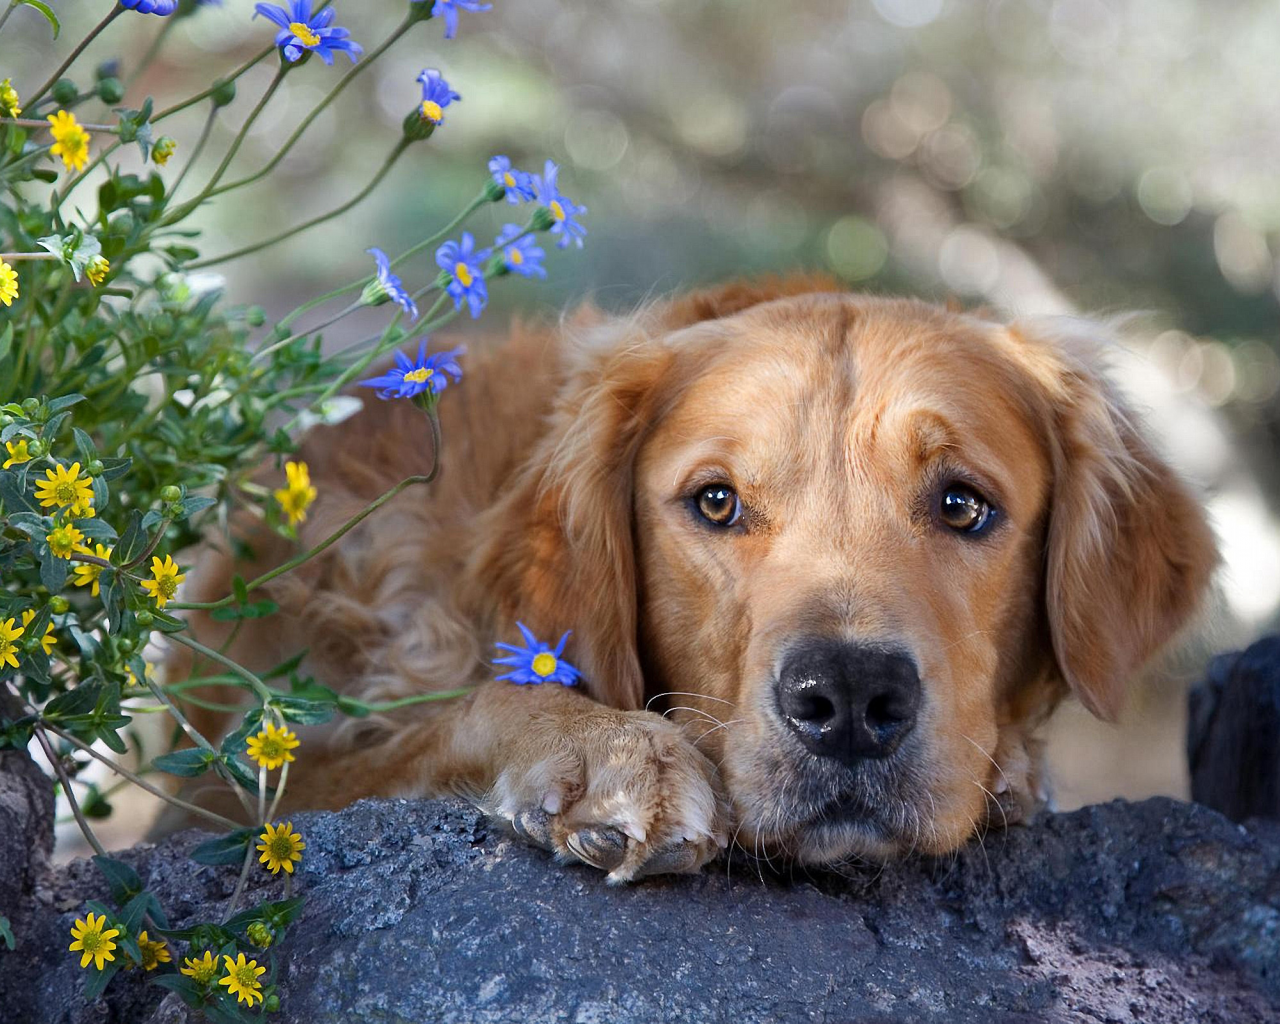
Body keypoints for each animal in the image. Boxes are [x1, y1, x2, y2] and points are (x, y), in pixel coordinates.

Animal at [175, 277, 1213, 880]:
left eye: (963, 505)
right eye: (716, 502)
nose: (848, 696)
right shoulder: (247, 786)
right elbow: (460, 712)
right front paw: (605, 750)